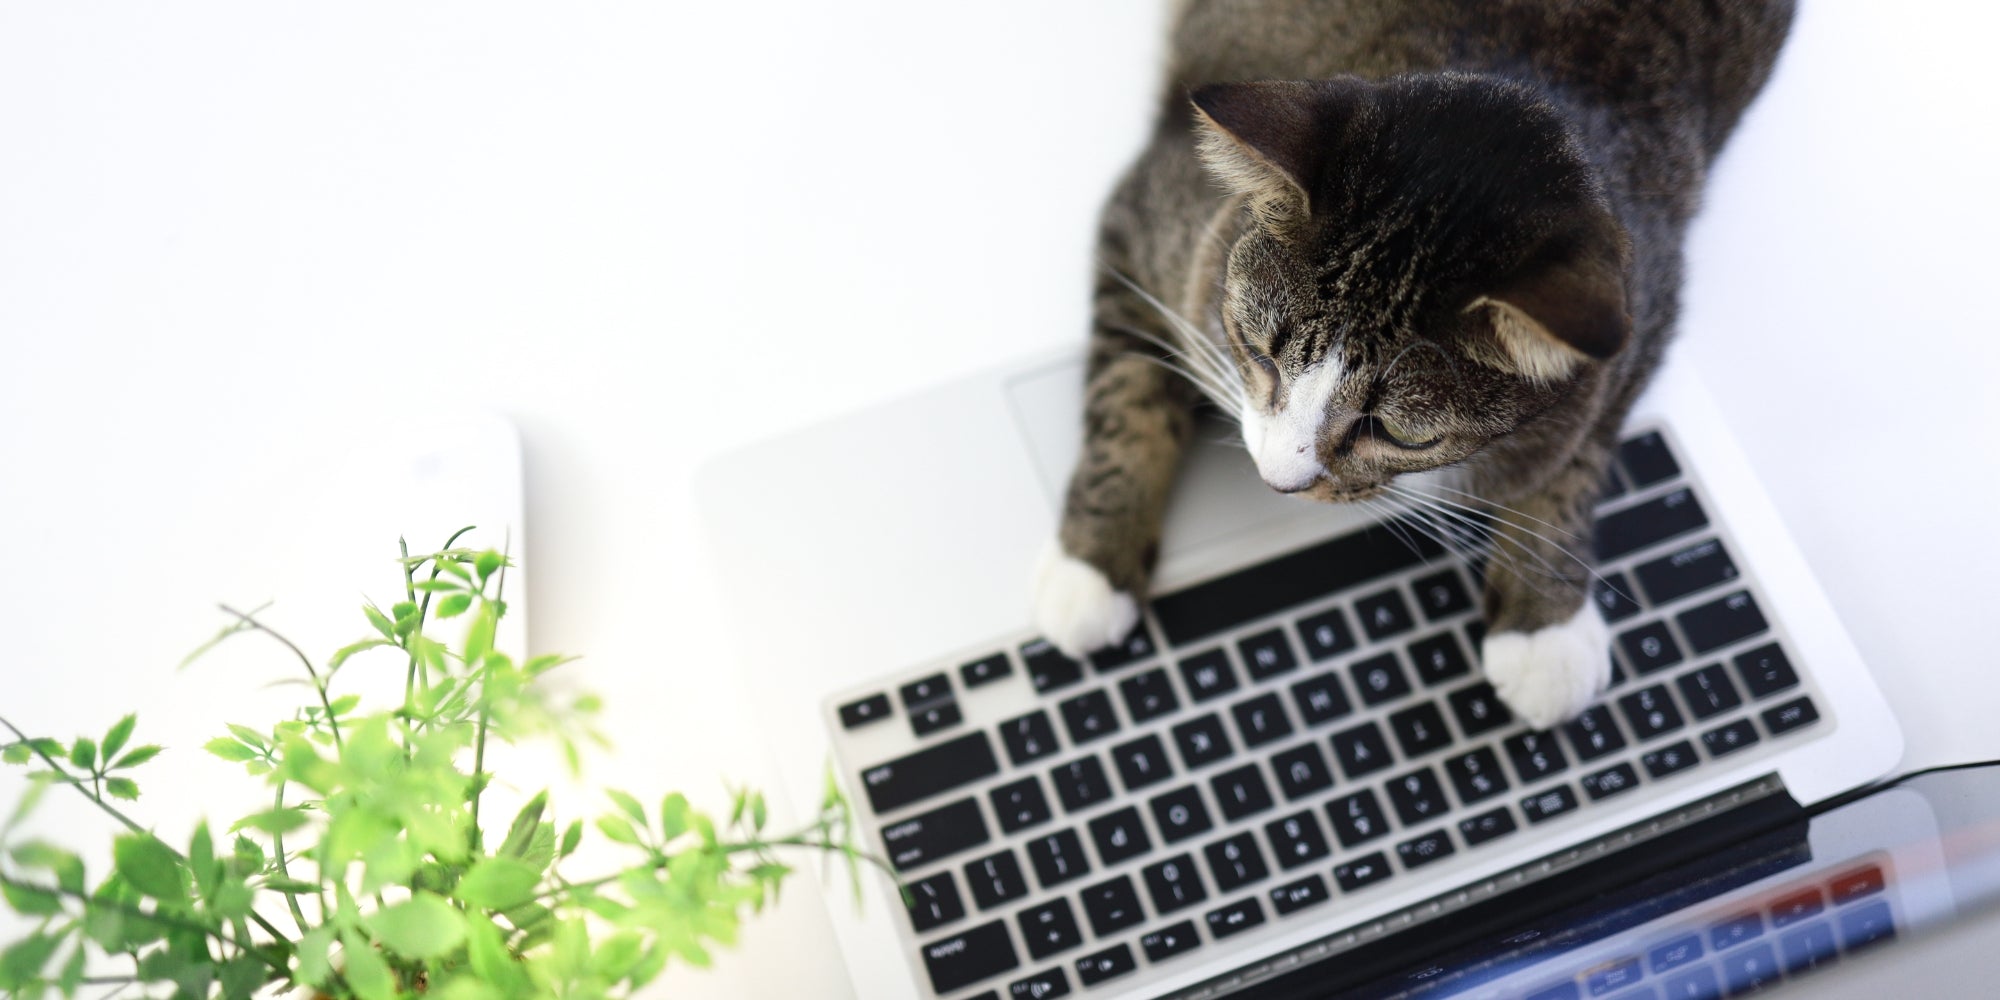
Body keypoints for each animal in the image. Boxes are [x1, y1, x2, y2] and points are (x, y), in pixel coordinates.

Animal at [1032, 0, 1800, 728]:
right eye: (1258, 352)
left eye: (1396, 432)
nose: (1277, 481)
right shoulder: (1152, 223)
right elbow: (1127, 398)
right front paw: (1091, 568)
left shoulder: (1641, 312)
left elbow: (1576, 459)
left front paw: (1543, 623)